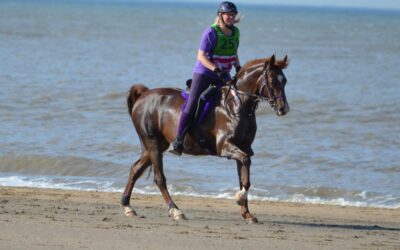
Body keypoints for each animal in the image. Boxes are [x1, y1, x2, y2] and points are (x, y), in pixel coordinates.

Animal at [120, 54, 290, 223]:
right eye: (272, 80)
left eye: (285, 81)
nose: (283, 108)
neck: (237, 105)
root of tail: (144, 94)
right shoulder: (226, 147)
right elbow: (246, 163)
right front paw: (240, 197)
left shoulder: (243, 148)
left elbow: (244, 178)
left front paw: (247, 213)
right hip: (153, 144)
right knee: (159, 178)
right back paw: (175, 210)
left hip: (156, 146)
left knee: (135, 169)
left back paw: (127, 206)